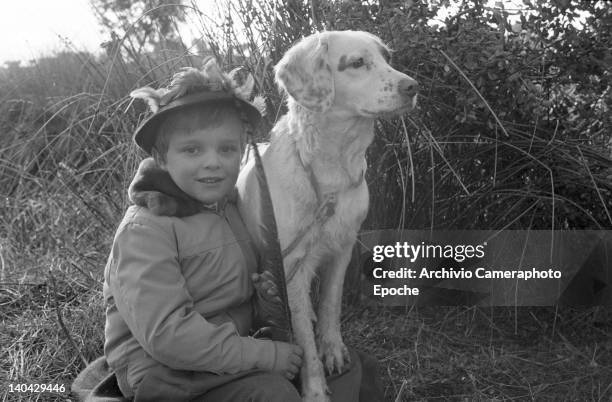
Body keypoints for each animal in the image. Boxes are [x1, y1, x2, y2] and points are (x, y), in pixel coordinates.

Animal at [237, 30, 418, 402]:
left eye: (387, 58)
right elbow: (303, 340)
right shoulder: (290, 267)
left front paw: (333, 351)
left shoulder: (343, 248)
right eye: (357, 62)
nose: (413, 86)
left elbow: (330, 306)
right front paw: (316, 389)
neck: (331, 168)